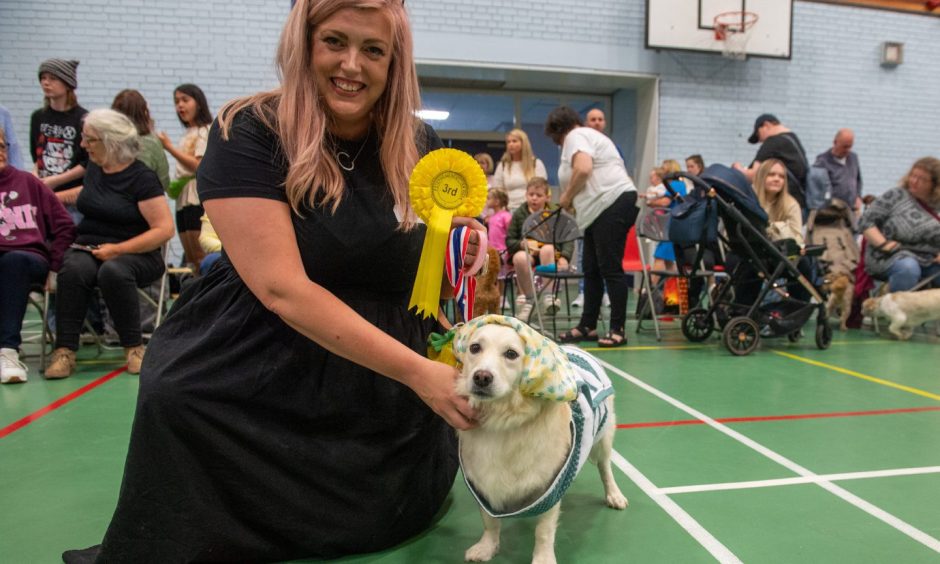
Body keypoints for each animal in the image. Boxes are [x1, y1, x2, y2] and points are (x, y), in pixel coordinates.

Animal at [452, 316, 628, 560]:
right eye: (475, 348)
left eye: (511, 354)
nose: (481, 377)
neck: (502, 419)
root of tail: (576, 349)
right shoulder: (481, 485)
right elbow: (489, 521)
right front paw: (487, 547)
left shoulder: (550, 488)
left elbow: (543, 531)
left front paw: (543, 558)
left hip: (603, 439)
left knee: (605, 469)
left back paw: (614, 495)